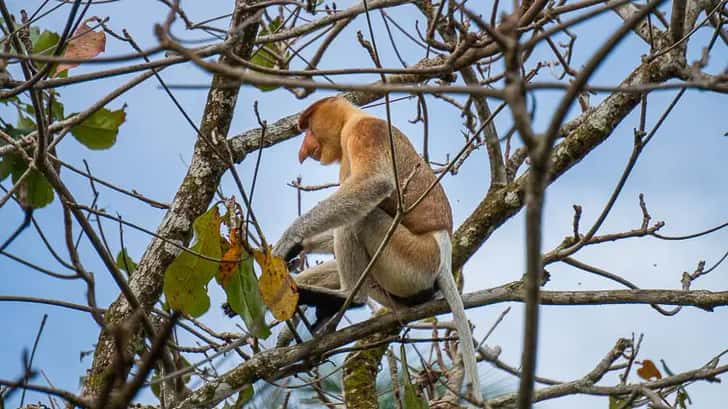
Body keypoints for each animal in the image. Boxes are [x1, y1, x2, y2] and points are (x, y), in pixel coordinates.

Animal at [272, 95, 484, 398]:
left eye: (308, 126)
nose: (302, 150)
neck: (351, 121)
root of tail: (443, 255)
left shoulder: (367, 134)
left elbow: (373, 184)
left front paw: (290, 238)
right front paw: (297, 249)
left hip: (412, 261)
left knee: (363, 219)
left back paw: (345, 298)